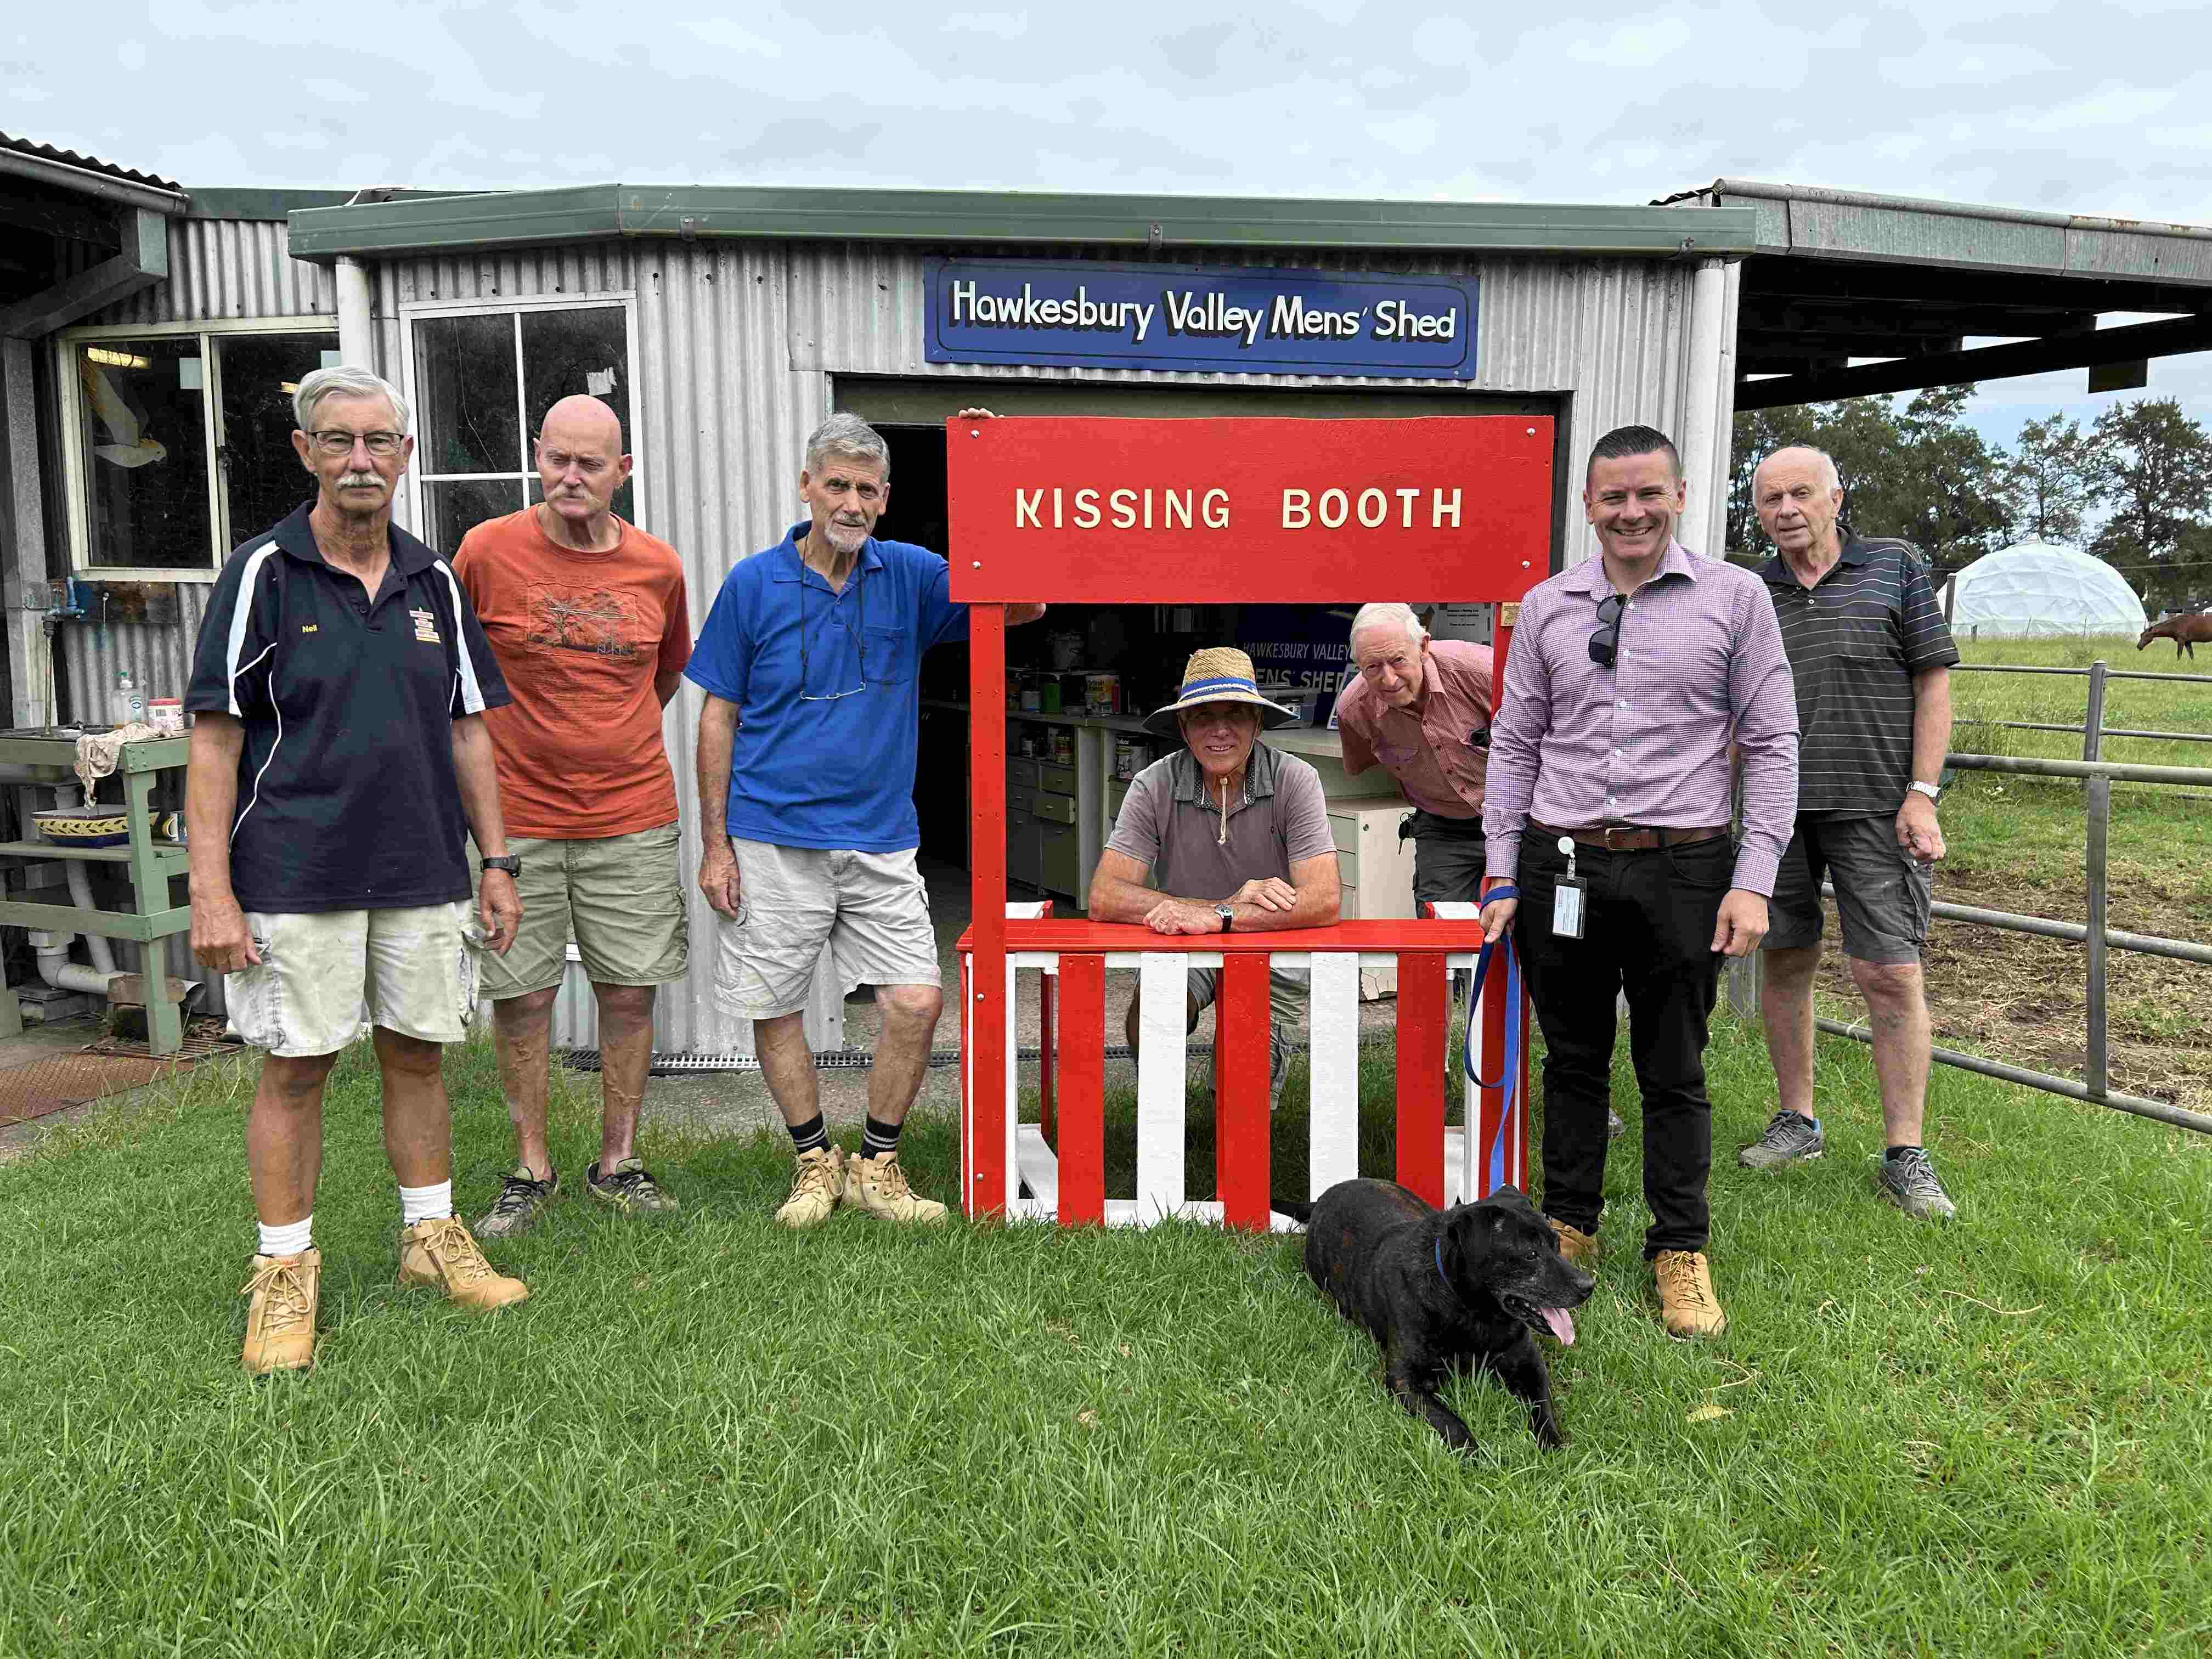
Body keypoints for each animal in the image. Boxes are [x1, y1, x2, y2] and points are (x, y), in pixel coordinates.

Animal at [1291, 1186, 1593, 1451]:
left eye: (1557, 1244)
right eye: (1530, 1255)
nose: (1588, 1286)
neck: (1474, 1312)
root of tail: (1323, 1197)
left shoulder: (1530, 1365)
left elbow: (1543, 1408)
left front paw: (1552, 1444)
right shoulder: (1405, 1381)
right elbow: (1451, 1421)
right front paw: (1473, 1454)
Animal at [2132, 614, 2203, 659]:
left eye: (2147, 635)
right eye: (2141, 635)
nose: (2139, 646)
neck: (2175, 626)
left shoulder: (2181, 641)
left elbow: (2179, 655)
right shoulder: (2187, 642)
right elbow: (2191, 655)